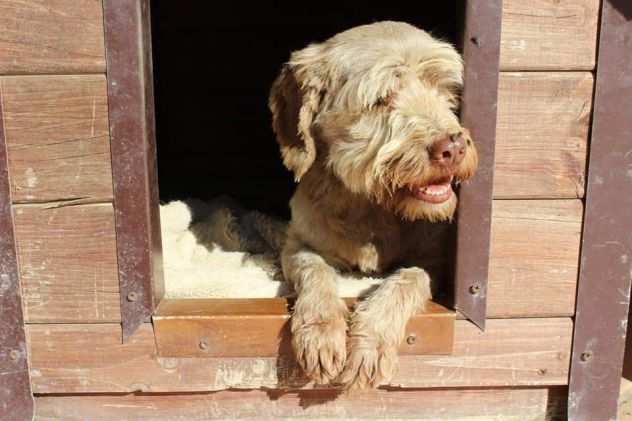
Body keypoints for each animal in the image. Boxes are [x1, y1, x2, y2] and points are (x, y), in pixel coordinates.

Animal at [268, 21, 478, 388]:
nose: (453, 147)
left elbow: (406, 280)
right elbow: (315, 270)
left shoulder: (434, 261)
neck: (373, 209)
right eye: (382, 99)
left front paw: (370, 344)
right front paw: (321, 333)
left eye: (444, 90)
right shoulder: (297, 243)